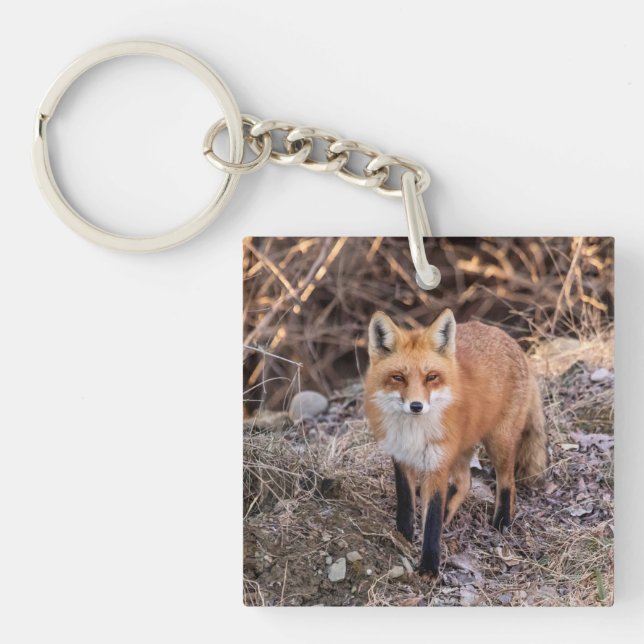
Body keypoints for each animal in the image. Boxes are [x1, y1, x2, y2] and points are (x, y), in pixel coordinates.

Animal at [364, 308, 548, 577]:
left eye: (431, 377)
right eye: (398, 377)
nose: (416, 406)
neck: (413, 432)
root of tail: (509, 339)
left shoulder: (437, 464)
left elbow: (432, 519)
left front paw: (429, 568)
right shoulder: (401, 456)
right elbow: (406, 502)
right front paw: (403, 535)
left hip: (498, 442)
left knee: (508, 482)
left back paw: (502, 522)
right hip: (461, 448)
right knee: (465, 482)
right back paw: (449, 514)